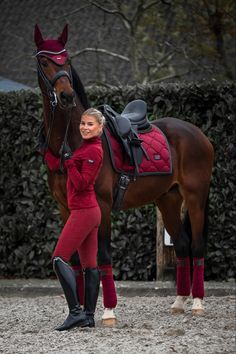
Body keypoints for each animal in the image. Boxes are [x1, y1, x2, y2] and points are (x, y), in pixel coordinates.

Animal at [34, 25, 214, 324]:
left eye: (67, 60)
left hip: (196, 197)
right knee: (181, 244)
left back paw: (198, 303)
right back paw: (179, 301)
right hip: (168, 199)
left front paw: (108, 312)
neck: (75, 141)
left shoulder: (103, 206)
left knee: (197, 245)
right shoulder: (66, 208)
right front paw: (80, 312)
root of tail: (198, 134)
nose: (67, 95)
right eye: (45, 61)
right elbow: (77, 261)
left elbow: (104, 256)